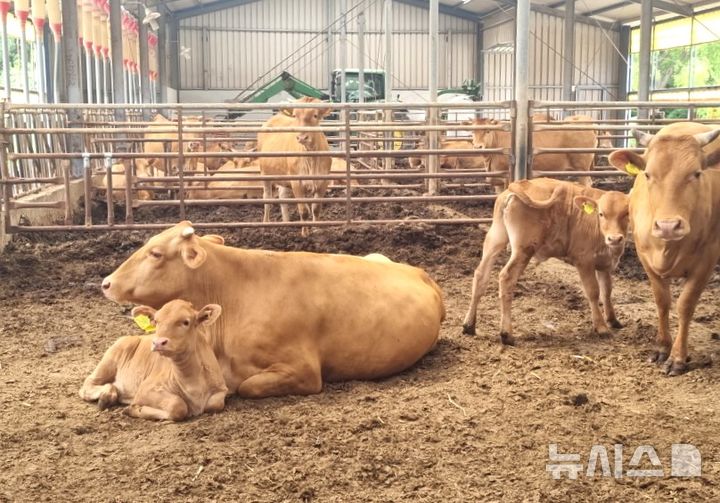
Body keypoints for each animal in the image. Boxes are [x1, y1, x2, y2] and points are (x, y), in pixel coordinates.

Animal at [78, 300, 226, 422]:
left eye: (186, 322)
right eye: (156, 321)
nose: (158, 342)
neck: (192, 384)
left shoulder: (221, 388)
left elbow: (215, 404)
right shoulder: (145, 389)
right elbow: (177, 405)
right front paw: (134, 409)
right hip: (111, 357)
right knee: (88, 384)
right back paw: (107, 396)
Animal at [608, 123, 720, 374]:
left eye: (696, 173)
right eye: (648, 174)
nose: (668, 226)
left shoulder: (707, 260)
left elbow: (685, 305)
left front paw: (677, 357)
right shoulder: (645, 257)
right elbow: (662, 301)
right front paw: (661, 348)